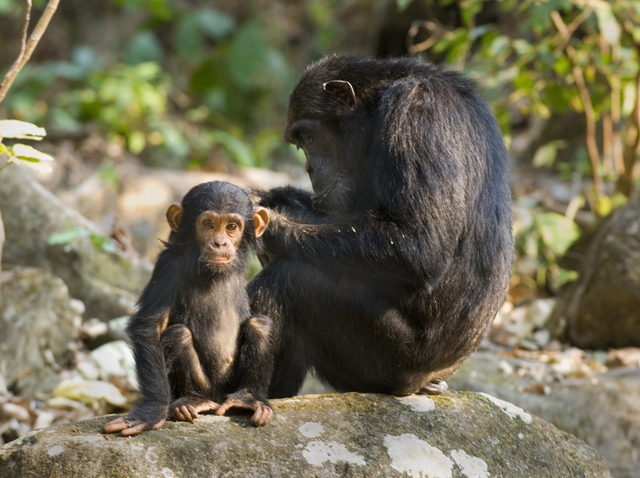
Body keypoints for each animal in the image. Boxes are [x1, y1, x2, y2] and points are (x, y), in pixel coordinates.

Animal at [104, 181, 272, 436]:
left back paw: (248, 397)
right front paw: (152, 411)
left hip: (230, 387)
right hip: (206, 387)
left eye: (232, 226)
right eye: (208, 224)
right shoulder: (167, 266)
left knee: (259, 325)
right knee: (178, 334)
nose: (220, 243)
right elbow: (150, 325)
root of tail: (216, 397)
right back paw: (190, 401)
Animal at [251, 55, 516, 400]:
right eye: (298, 144)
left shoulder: (414, 113)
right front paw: (277, 197)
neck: (375, 107)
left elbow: (418, 245)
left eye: (307, 138)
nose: (309, 168)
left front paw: (267, 227)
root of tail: (428, 381)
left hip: (388, 358)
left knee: (290, 280)